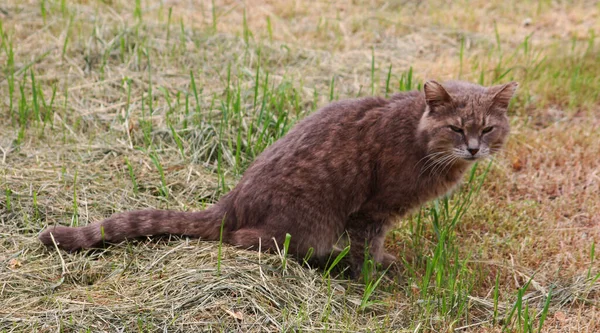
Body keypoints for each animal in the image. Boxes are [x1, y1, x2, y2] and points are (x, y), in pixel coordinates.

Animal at [38, 79, 516, 276]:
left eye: (488, 128)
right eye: (456, 128)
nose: (474, 148)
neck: (420, 140)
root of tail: (232, 200)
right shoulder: (372, 210)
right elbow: (368, 245)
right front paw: (372, 275)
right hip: (308, 223)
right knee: (246, 239)